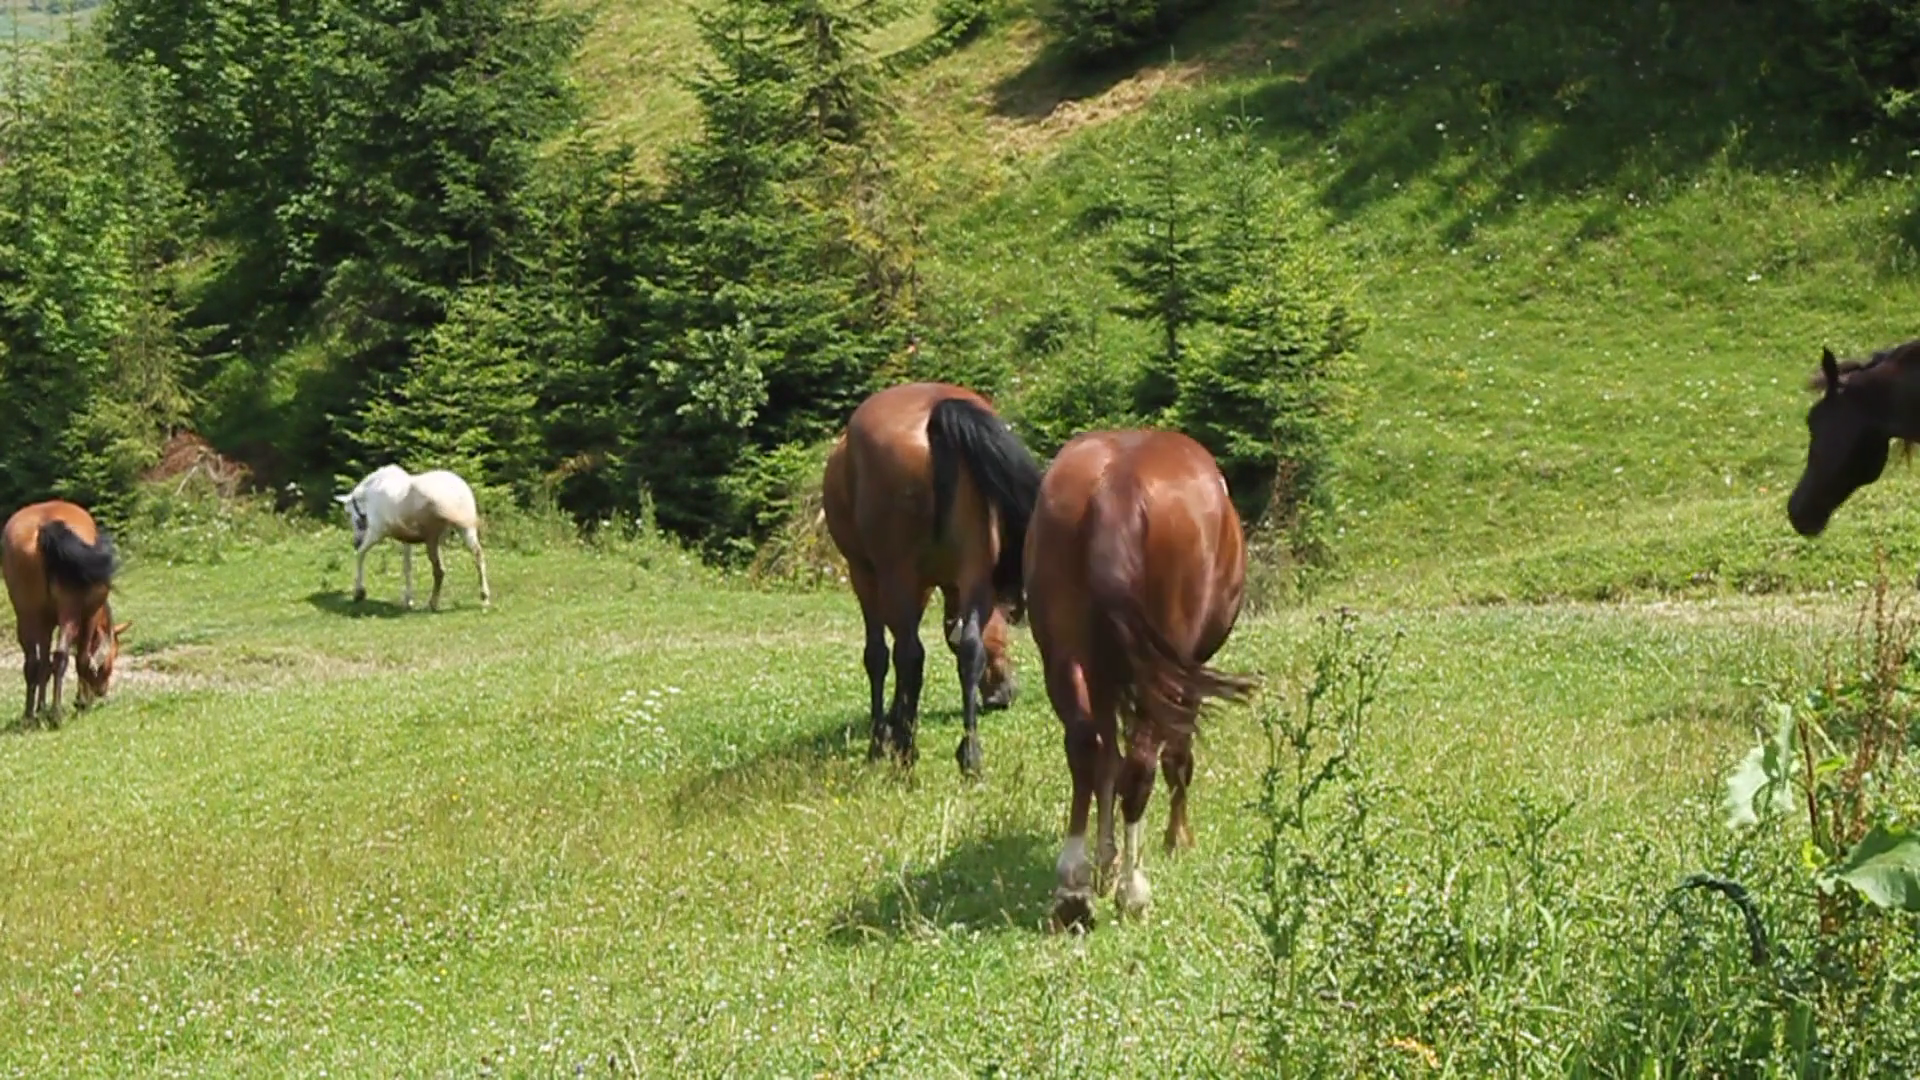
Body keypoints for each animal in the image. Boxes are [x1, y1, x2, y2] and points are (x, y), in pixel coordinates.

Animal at [2, 500, 130, 726]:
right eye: (112, 657)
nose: (102, 692)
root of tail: (45, 525)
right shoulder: (89, 617)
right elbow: (82, 659)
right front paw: (81, 703)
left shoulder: (45, 624)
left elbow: (44, 665)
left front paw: (40, 708)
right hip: (69, 611)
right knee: (63, 656)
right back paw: (57, 714)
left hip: (26, 614)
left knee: (33, 663)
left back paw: (30, 716)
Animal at [336, 465, 492, 611]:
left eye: (349, 513)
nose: (356, 541)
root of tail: (456, 493)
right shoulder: (406, 540)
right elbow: (407, 567)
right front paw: (408, 600)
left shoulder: (377, 532)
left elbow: (360, 554)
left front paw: (359, 592)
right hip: (466, 531)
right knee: (478, 557)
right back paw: (484, 598)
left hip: (432, 540)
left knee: (439, 570)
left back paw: (432, 604)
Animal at [822, 382, 1044, 776]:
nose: (1004, 695)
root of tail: (937, 411)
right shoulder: (935, 586)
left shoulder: (869, 575)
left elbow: (880, 655)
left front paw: (882, 739)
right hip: (973, 573)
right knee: (968, 648)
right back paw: (970, 756)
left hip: (896, 575)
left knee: (910, 654)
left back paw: (906, 752)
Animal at [1024, 429, 1258, 931]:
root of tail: (1119, 485)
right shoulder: (1184, 670)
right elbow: (1177, 757)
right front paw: (1176, 839)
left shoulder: (1105, 673)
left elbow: (1105, 759)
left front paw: (1105, 861)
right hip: (1164, 670)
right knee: (1142, 764)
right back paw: (1133, 891)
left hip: (1064, 654)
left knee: (1085, 748)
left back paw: (1073, 885)